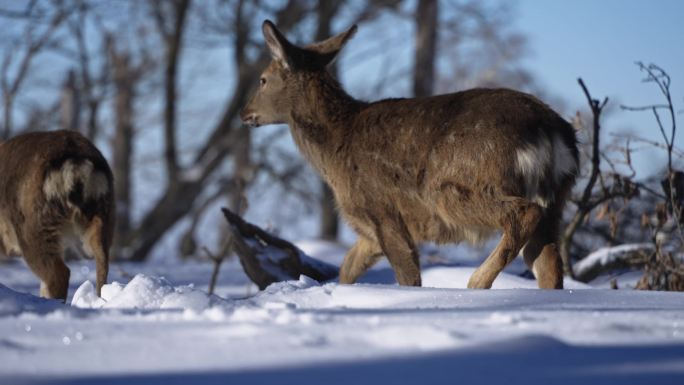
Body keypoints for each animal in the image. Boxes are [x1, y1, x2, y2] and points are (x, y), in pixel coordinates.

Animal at [240, 19, 576, 286]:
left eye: (263, 79)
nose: (245, 113)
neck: (335, 147)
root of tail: (551, 131)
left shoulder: (382, 208)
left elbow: (408, 275)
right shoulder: (369, 231)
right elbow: (347, 268)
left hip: (456, 187)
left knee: (524, 214)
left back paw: (476, 281)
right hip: (558, 197)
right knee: (548, 262)